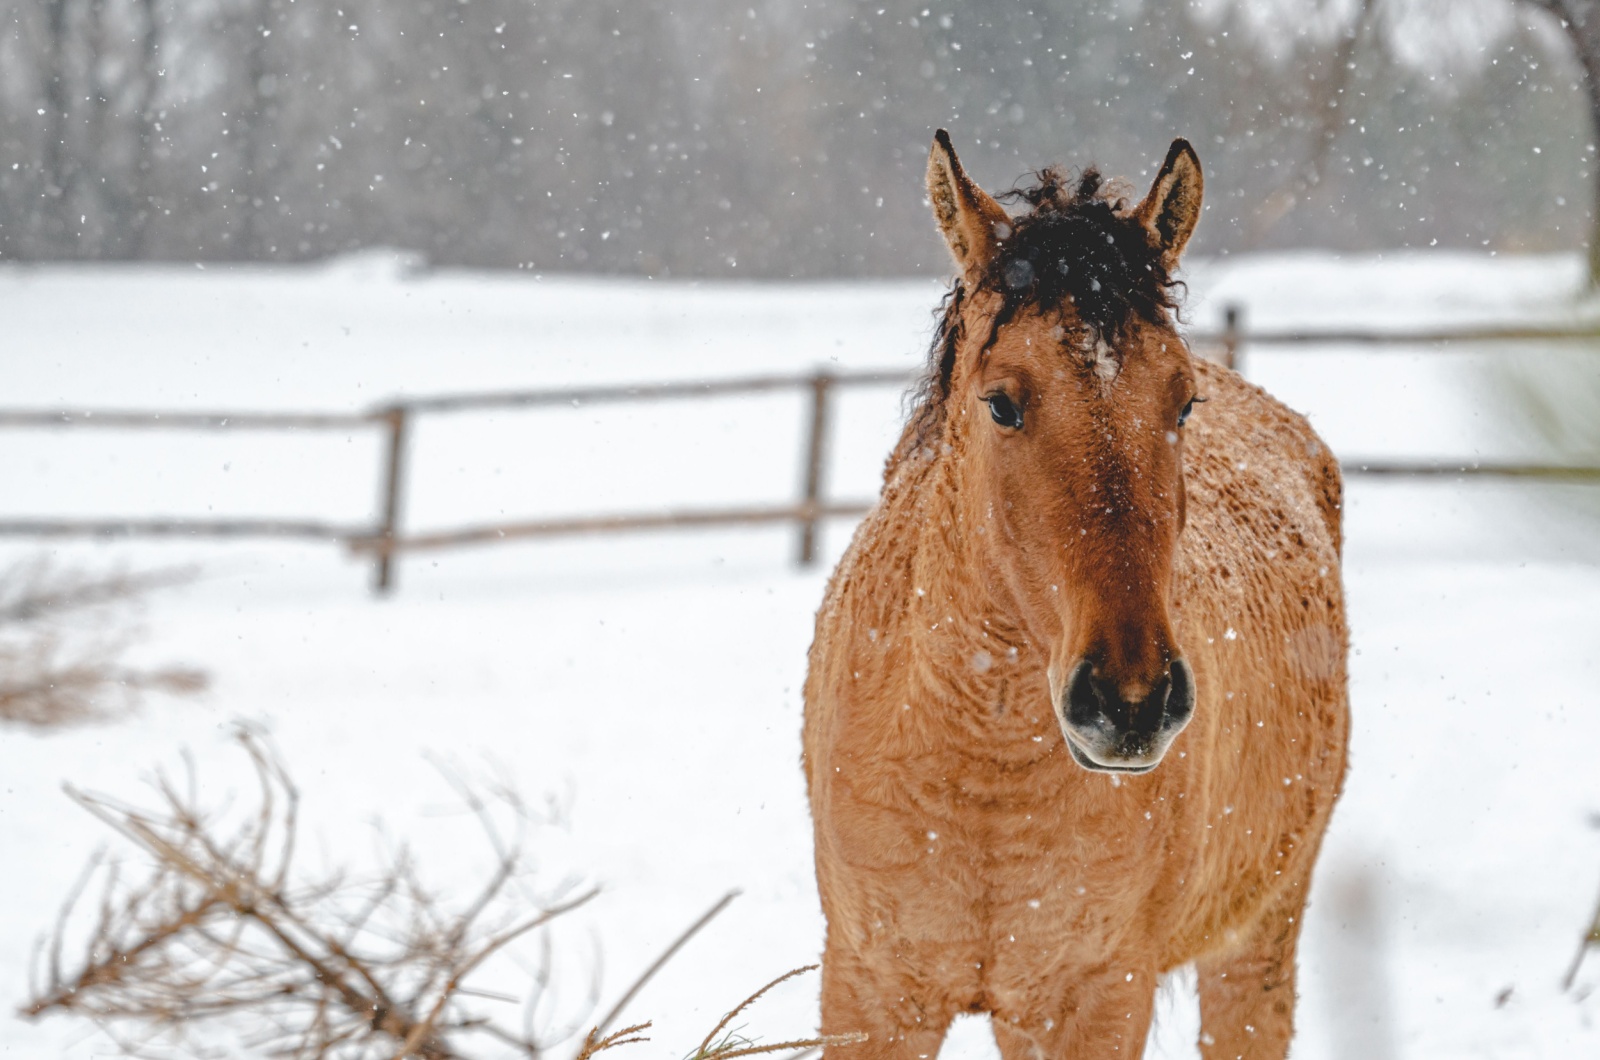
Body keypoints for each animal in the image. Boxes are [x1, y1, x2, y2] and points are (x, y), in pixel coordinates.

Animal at [800, 135, 1350, 1060]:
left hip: (1259, 940)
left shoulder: (1093, 999)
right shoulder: (871, 993)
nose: (1132, 701)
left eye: (1181, 401)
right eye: (1002, 402)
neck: (979, 776)